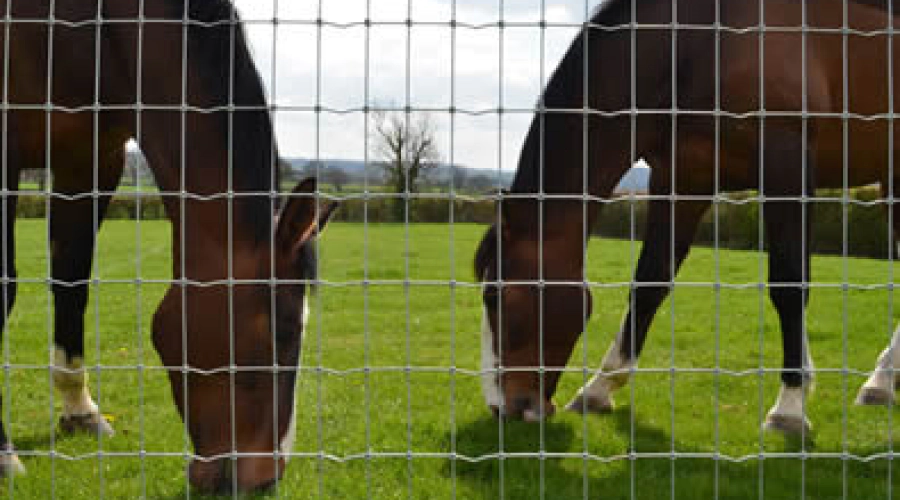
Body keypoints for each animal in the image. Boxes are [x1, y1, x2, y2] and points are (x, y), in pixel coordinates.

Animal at [0, 0, 337, 493]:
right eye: (282, 334)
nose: (264, 478)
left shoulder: (90, 159)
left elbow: (72, 283)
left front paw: (80, 409)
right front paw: (2, 451)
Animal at [475, 0, 900, 434]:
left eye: (494, 295)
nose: (503, 407)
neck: (704, 42)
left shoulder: (787, 165)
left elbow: (789, 286)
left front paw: (790, 406)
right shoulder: (683, 179)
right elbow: (649, 283)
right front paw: (599, 387)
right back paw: (881, 382)